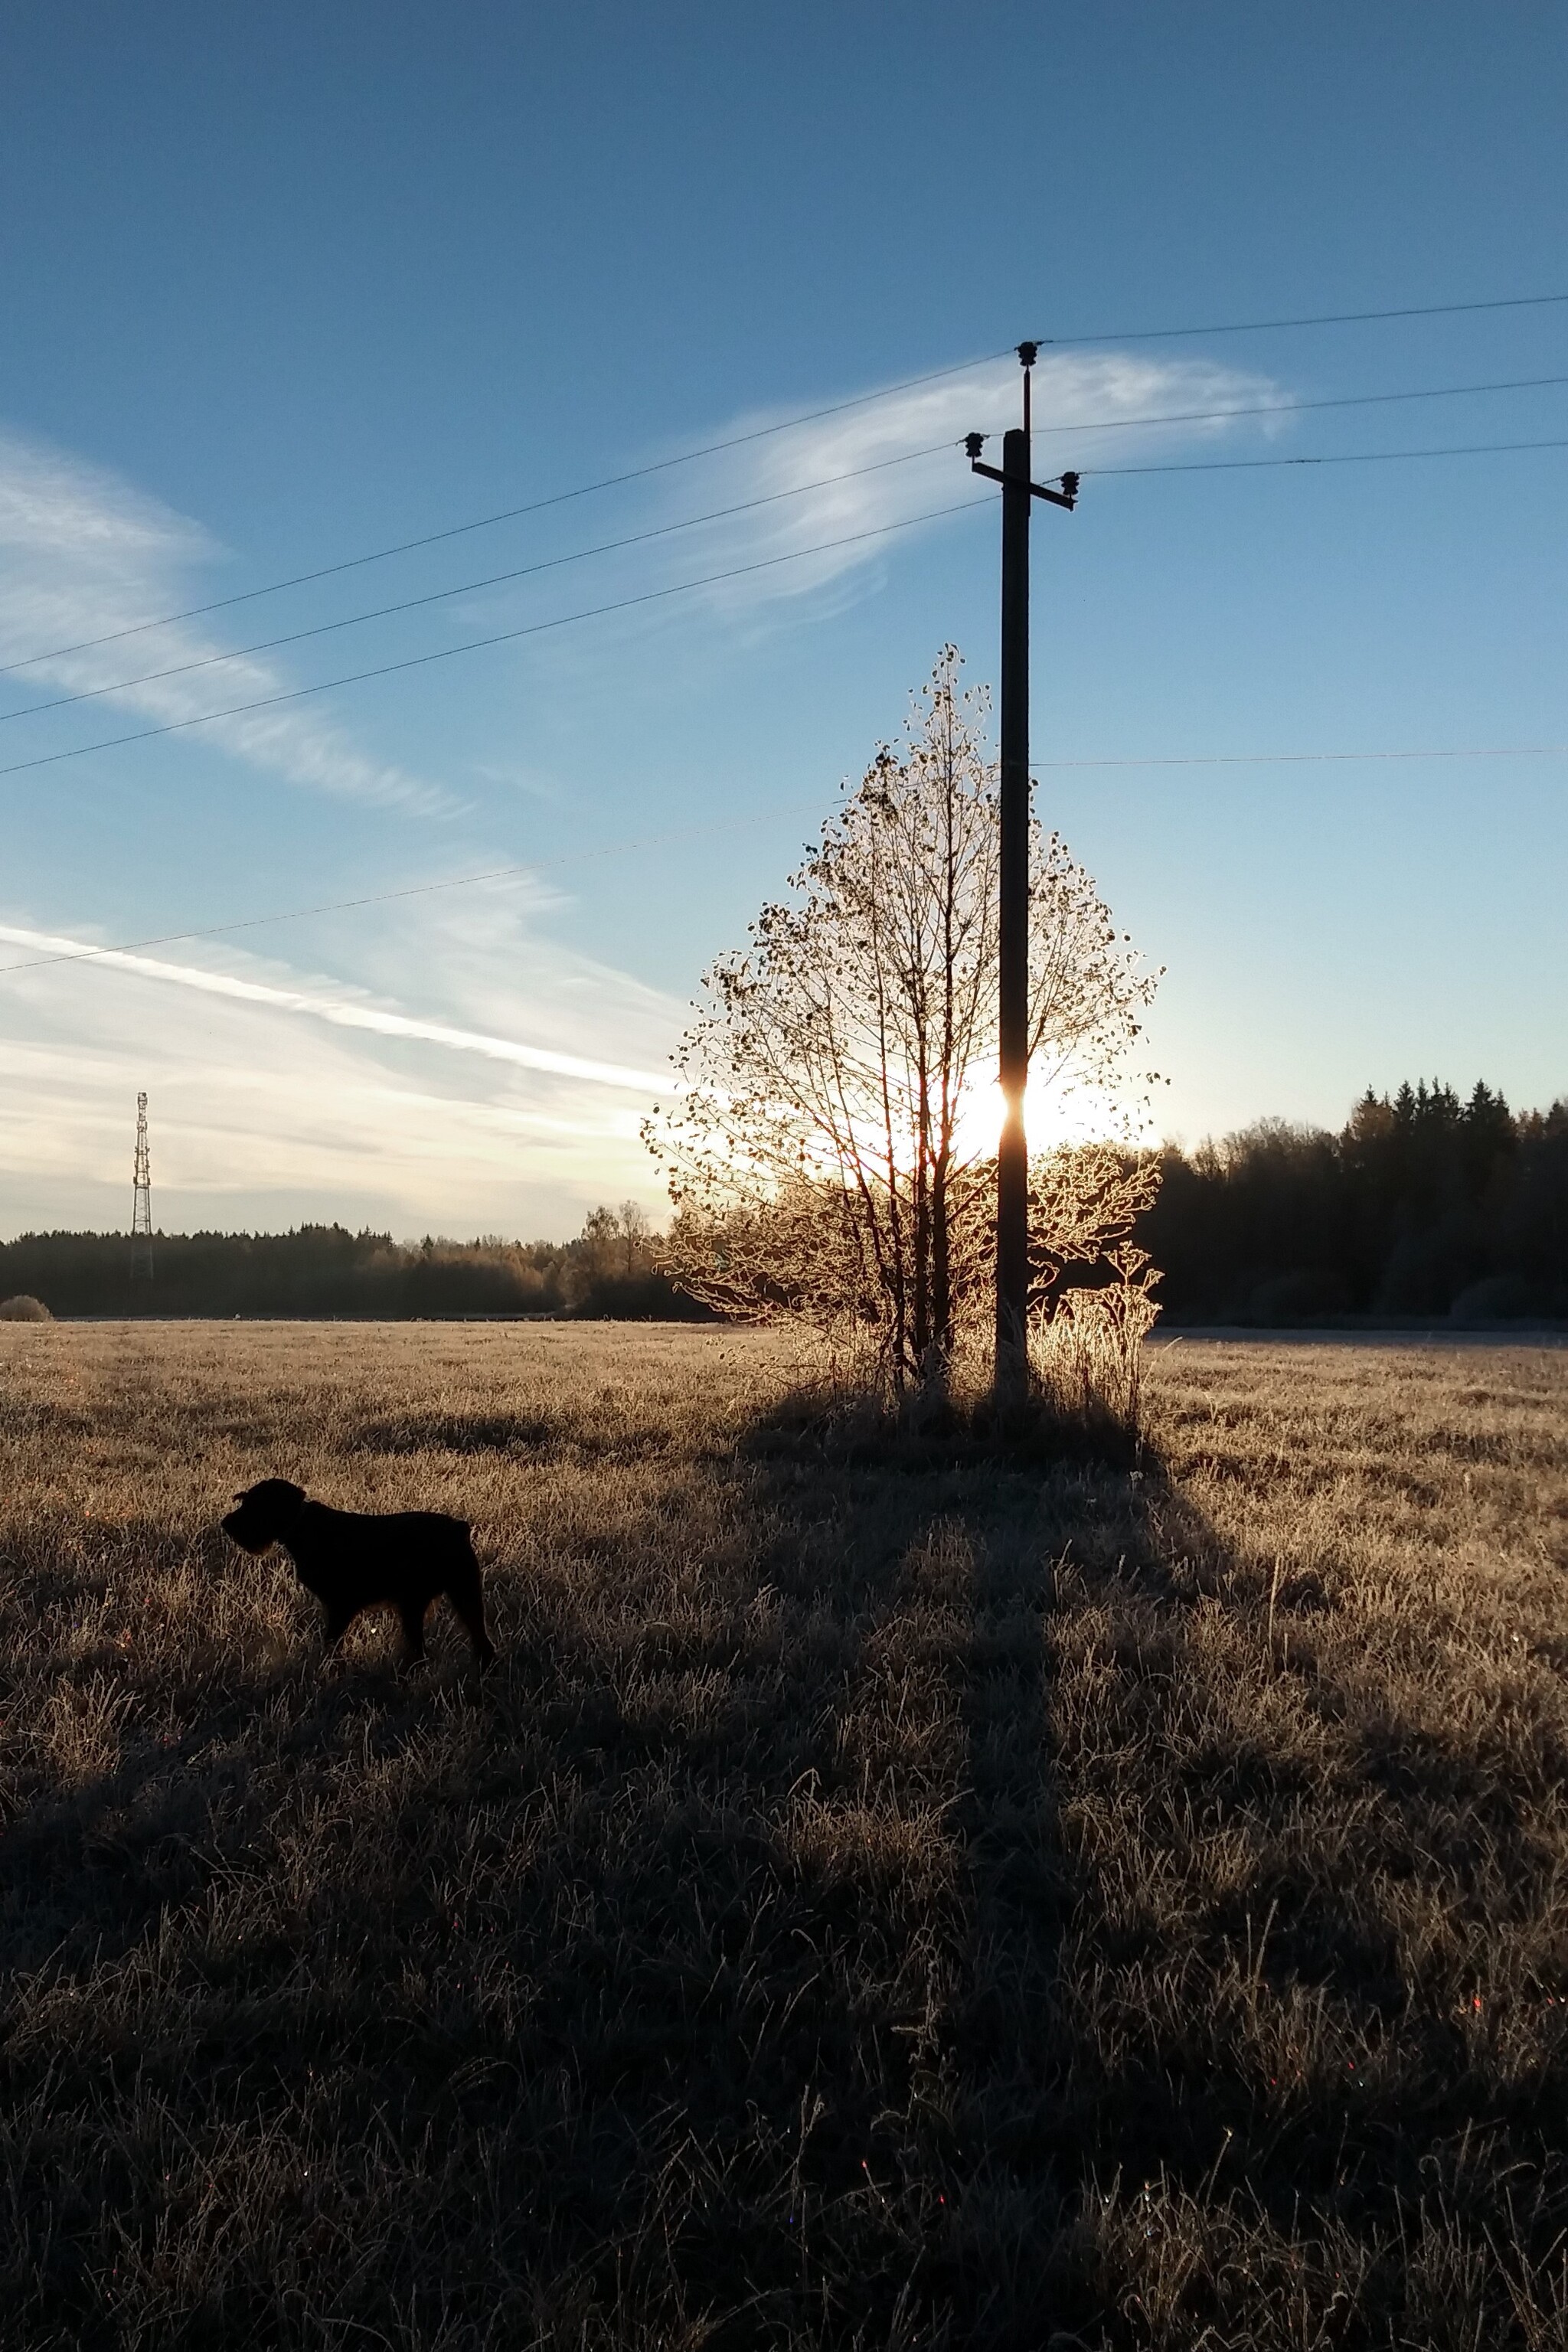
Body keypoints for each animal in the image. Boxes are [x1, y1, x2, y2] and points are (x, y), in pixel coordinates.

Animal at [223, 1477, 493, 1664]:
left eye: (256, 1505)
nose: (227, 1523)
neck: (303, 1527)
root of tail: (459, 1529)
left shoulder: (341, 1606)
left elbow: (331, 1641)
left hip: (456, 1595)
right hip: (431, 1603)